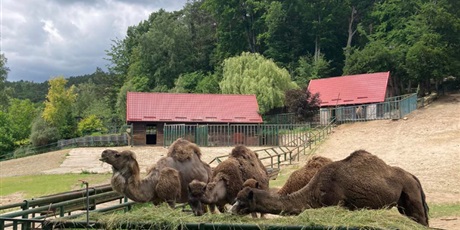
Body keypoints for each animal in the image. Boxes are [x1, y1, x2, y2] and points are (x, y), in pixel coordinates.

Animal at [232, 149, 430, 226]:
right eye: (236, 198)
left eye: (241, 200)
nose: (232, 210)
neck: (313, 191)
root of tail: (414, 177)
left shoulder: (335, 204)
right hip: (403, 202)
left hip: (412, 196)